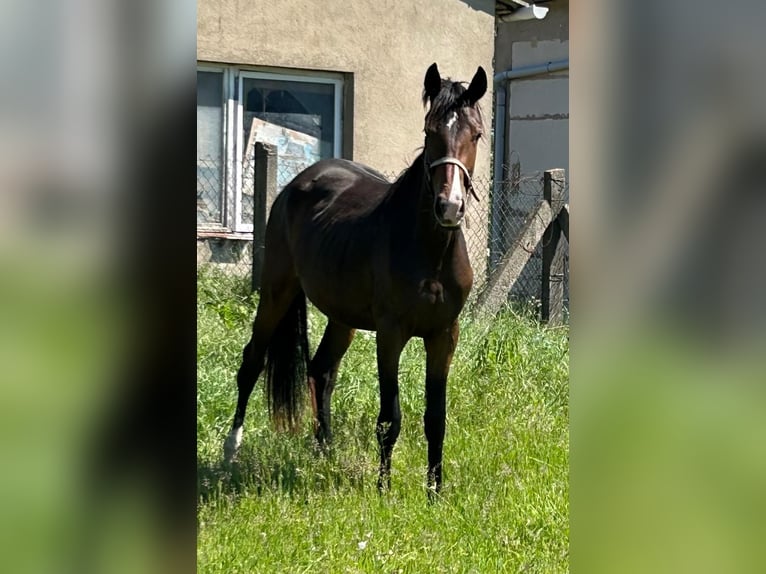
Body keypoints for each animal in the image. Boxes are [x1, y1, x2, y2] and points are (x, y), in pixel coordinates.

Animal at [223, 63, 487, 496]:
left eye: (476, 134)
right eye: (429, 131)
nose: (449, 207)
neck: (430, 252)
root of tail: (298, 183)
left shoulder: (444, 334)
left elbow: (436, 418)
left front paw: (434, 493)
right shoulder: (390, 333)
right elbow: (389, 417)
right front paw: (384, 490)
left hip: (341, 317)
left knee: (320, 370)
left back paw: (324, 452)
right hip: (277, 292)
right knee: (252, 362)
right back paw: (231, 449)